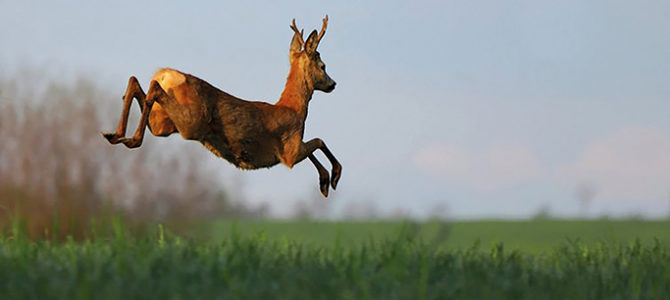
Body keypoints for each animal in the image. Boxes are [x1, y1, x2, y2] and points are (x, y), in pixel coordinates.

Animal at [105, 15, 346, 197]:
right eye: (323, 66)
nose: (333, 84)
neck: (294, 108)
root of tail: (166, 74)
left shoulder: (294, 148)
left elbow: (315, 144)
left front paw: (325, 182)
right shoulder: (290, 151)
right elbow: (319, 141)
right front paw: (332, 177)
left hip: (163, 123)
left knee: (136, 82)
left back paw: (117, 135)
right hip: (191, 122)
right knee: (152, 88)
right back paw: (130, 138)